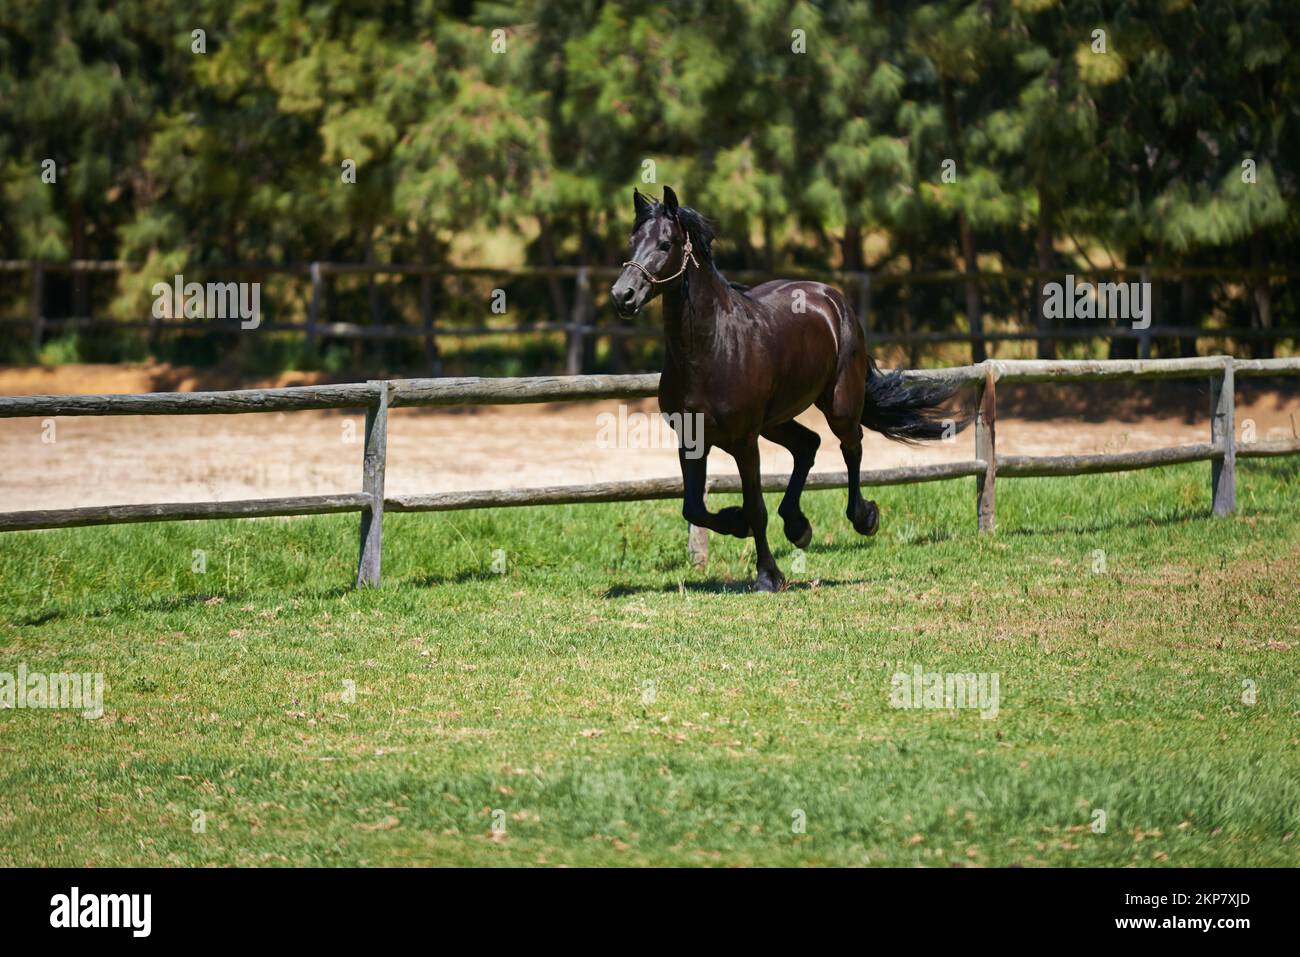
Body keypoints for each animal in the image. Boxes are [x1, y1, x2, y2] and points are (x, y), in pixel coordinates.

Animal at [610, 186, 967, 591]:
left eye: (665, 244)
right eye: (633, 241)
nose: (622, 295)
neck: (711, 349)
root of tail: (831, 297)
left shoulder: (745, 442)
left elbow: (756, 508)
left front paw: (768, 575)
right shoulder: (691, 439)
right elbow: (694, 508)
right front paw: (736, 523)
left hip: (838, 406)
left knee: (851, 446)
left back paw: (864, 517)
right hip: (775, 421)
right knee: (808, 445)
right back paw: (798, 526)